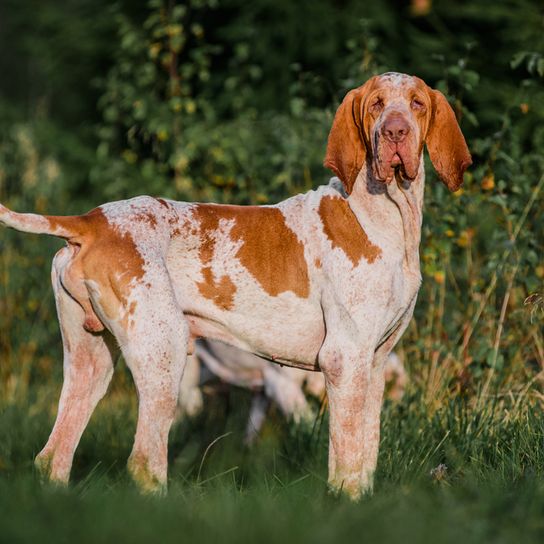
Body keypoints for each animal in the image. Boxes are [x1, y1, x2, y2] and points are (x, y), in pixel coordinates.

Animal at [0, 73, 470, 502]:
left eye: (416, 103)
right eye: (376, 104)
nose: (396, 132)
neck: (384, 216)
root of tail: (90, 220)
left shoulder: (372, 365)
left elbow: (365, 453)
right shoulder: (345, 360)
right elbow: (347, 457)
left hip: (91, 362)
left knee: (53, 456)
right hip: (164, 353)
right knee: (144, 462)